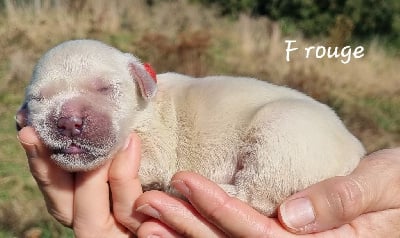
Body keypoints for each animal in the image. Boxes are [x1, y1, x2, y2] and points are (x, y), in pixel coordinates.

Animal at [16, 39, 366, 216]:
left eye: (105, 88)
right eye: (38, 99)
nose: (68, 121)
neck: (144, 107)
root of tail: (355, 152)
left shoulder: (155, 148)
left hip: (280, 134)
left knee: (258, 196)